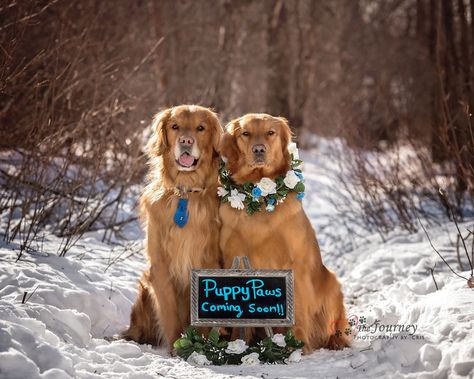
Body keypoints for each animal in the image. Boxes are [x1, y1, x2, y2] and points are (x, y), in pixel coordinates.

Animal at [124, 105, 224, 348]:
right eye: (175, 126)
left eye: (200, 128)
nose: (186, 141)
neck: (185, 194)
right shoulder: (160, 265)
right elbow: (169, 313)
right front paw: (178, 347)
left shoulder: (209, 262)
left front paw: (203, 346)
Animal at [220, 113, 350, 354]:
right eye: (246, 133)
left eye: (270, 132)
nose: (259, 149)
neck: (259, 198)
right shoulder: (235, 258)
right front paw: (237, 344)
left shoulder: (294, 265)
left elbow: (297, 310)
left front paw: (297, 345)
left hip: (332, 285)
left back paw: (334, 342)